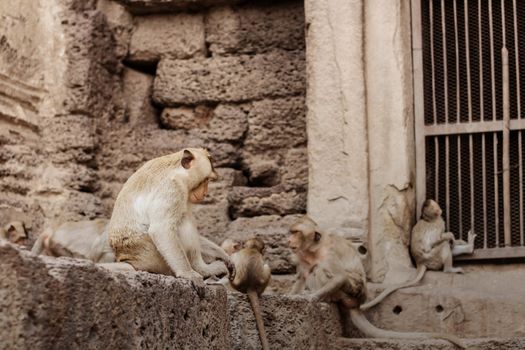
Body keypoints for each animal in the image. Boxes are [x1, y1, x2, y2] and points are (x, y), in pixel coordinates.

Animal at [101, 148, 232, 288]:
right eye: (206, 180)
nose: (205, 193)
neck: (178, 172)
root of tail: (131, 261)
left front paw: (224, 255)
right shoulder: (172, 188)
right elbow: (161, 230)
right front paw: (188, 274)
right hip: (154, 259)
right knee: (183, 221)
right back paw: (201, 269)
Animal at [288, 217, 464, 348]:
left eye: (296, 232)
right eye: (291, 232)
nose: (289, 240)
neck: (313, 249)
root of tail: (356, 303)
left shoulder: (328, 253)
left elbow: (339, 277)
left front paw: (311, 297)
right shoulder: (301, 255)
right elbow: (301, 277)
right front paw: (293, 294)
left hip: (350, 291)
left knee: (320, 270)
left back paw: (326, 297)